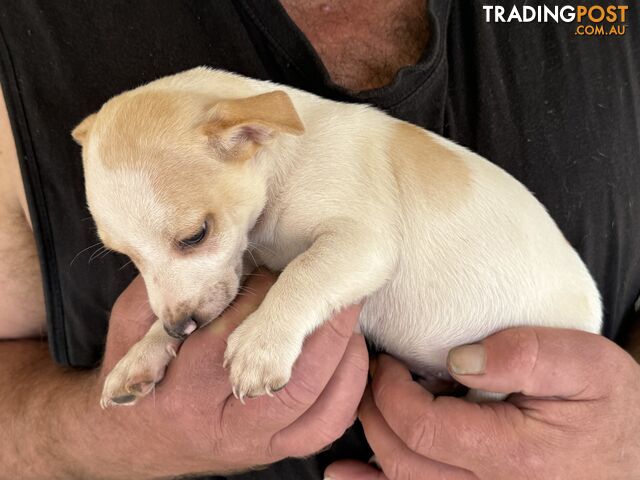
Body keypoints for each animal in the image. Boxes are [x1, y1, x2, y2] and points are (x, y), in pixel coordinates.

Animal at [72, 65, 604, 406]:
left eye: (194, 235)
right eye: (127, 258)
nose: (181, 328)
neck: (283, 169)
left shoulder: (361, 242)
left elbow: (303, 274)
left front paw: (261, 344)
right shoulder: (238, 263)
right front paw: (141, 355)